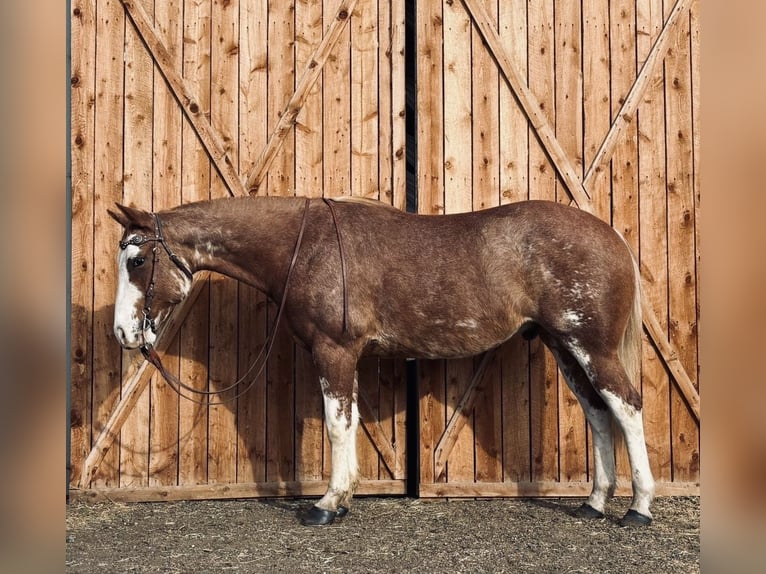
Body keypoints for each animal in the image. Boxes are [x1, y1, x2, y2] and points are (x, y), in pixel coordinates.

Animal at [108, 195, 655, 527]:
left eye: (138, 260)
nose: (123, 333)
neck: (306, 246)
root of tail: (611, 237)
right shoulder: (341, 356)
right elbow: (347, 423)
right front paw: (343, 499)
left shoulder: (334, 351)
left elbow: (336, 426)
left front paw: (327, 504)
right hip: (564, 345)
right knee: (598, 413)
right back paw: (594, 503)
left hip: (591, 347)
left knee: (626, 407)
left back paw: (639, 508)